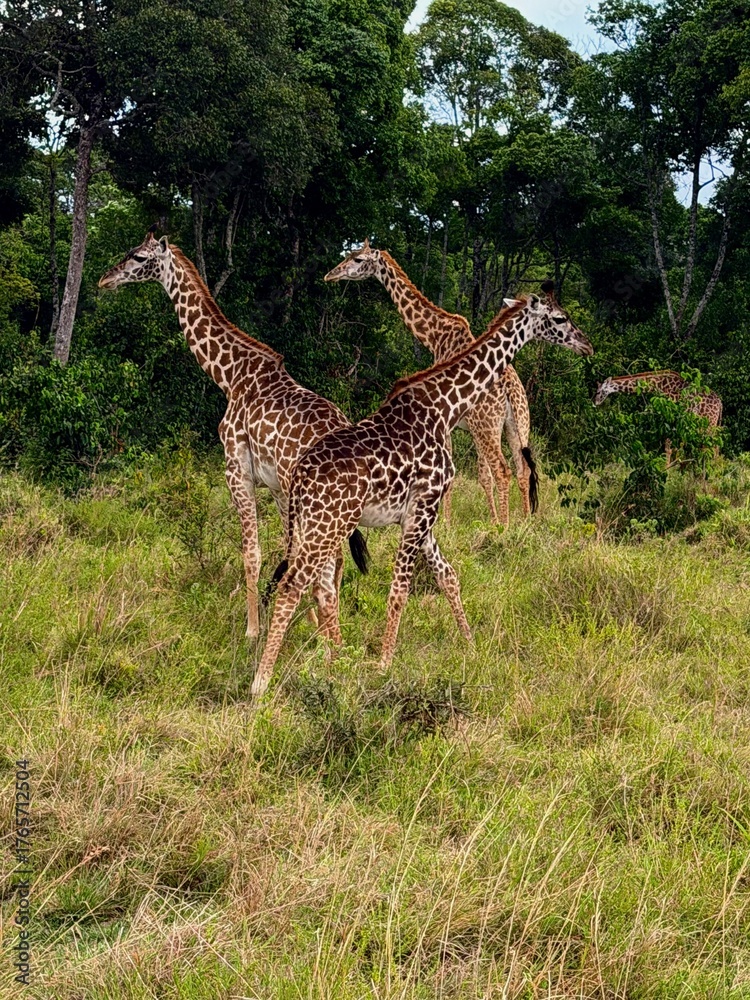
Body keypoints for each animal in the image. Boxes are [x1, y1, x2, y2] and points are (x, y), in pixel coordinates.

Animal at [98, 228, 369, 641]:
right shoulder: (277, 487)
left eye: (139, 257)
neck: (230, 375)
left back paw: (323, 642)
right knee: (332, 565)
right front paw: (297, 620)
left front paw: (253, 629)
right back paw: (323, 635)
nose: (104, 279)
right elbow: (284, 549)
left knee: (325, 569)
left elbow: (252, 552)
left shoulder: (236, 469)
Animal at [252, 292, 594, 695]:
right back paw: (261, 681)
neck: (444, 405)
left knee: (313, 585)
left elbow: (448, 575)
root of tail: (301, 477)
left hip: (312, 524)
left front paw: (471, 646)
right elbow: (400, 588)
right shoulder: (426, 503)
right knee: (293, 585)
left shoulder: (418, 512)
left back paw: (325, 662)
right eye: (559, 318)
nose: (586, 345)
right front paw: (384, 663)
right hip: (331, 523)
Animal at [324, 241, 537, 526]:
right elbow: (482, 476)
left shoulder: (448, 423)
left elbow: (459, 474)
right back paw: (524, 521)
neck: (435, 336)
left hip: (487, 425)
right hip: (517, 424)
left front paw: (446, 522)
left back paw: (504, 526)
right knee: (522, 469)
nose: (331, 275)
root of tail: (511, 390)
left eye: (358, 259)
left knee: (502, 471)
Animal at [594, 370, 723, 465]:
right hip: (711, 423)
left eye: (598, 392)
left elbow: (668, 448)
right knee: (715, 446)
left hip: (708, 423)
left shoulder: (669, 416)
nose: (594, 402)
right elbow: (675, 448)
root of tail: (720, 403)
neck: (658, 385)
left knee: (712, 446)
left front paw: (667, 470)